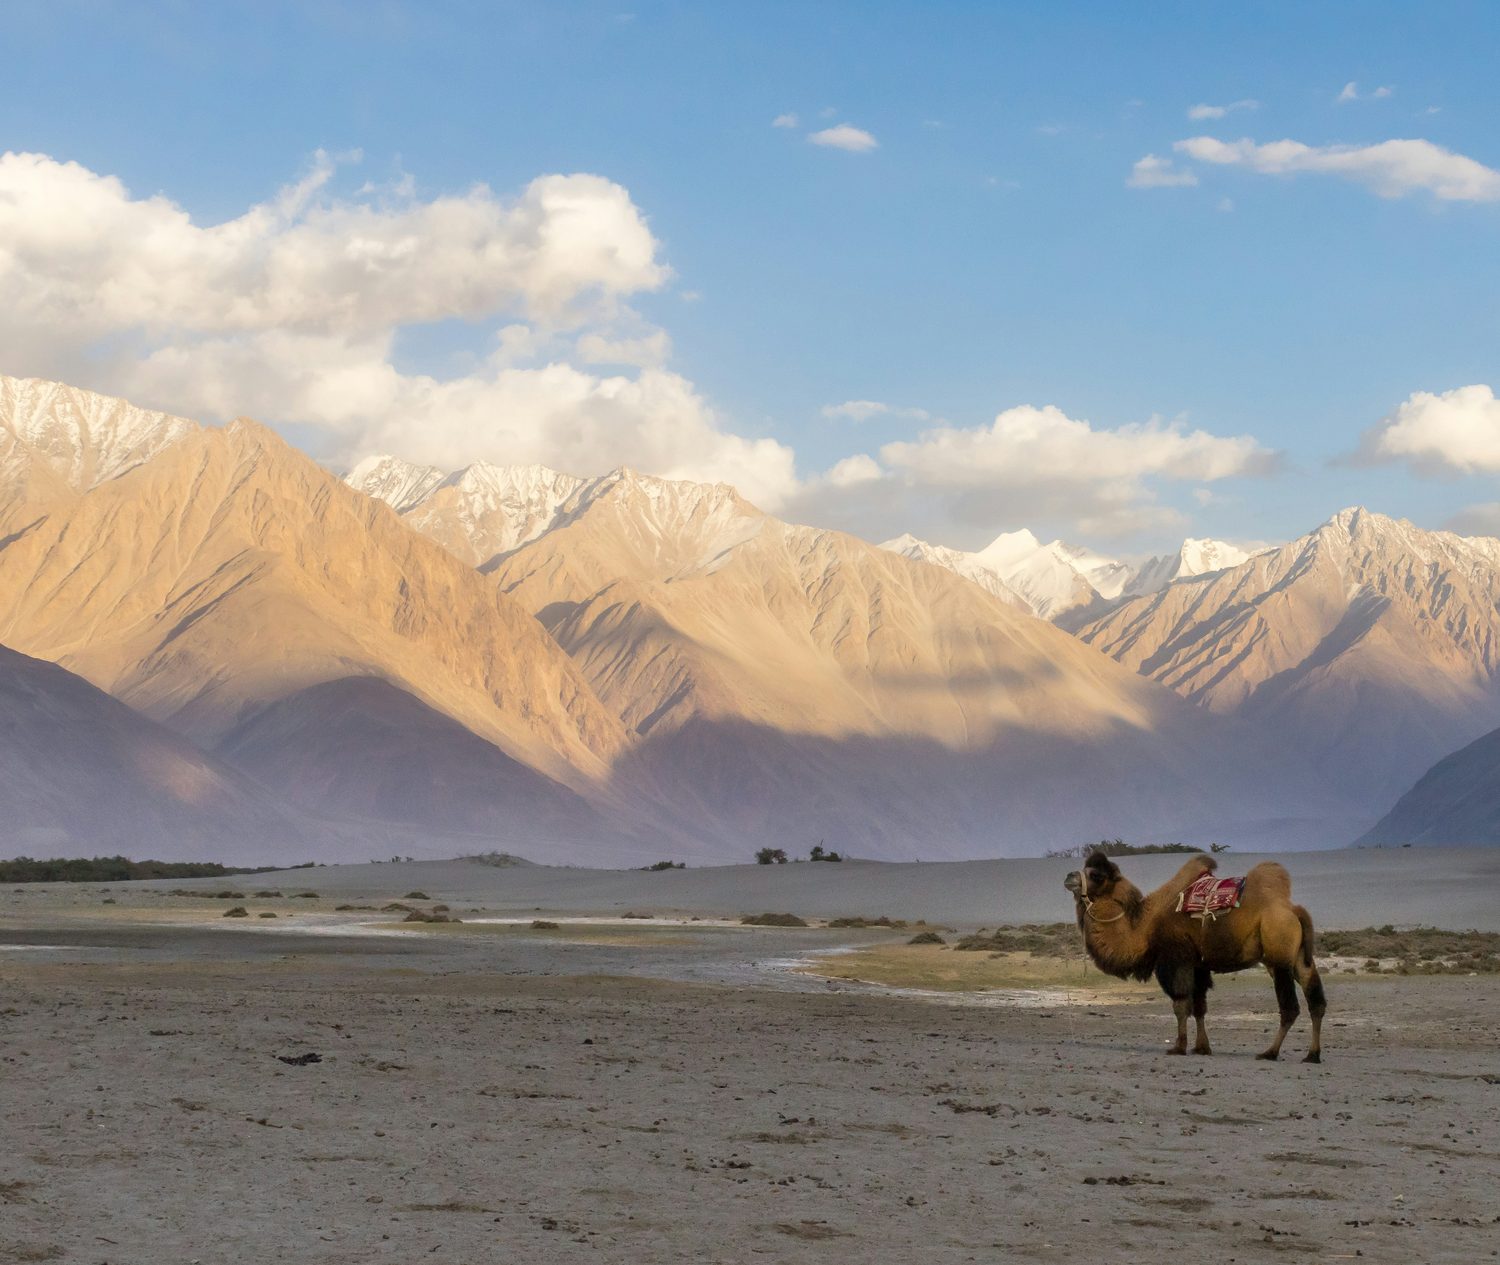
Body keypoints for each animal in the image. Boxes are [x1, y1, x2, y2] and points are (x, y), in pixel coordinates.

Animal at [1063, 850, 1326, 1061]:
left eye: (1097, 875)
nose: (1069, 877)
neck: (1144, 928)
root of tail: (1294, 910)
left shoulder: (1175, 959)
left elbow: (1180, 1004)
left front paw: (1178, 1047)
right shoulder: (1198, 965)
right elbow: (1199, 1007)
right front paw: (1201, 1047)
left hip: (1278, 953)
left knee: (1290, 1007)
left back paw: (1270, 1052)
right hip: (1299, 958)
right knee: (1316, 1001)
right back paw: (1312, 1055)